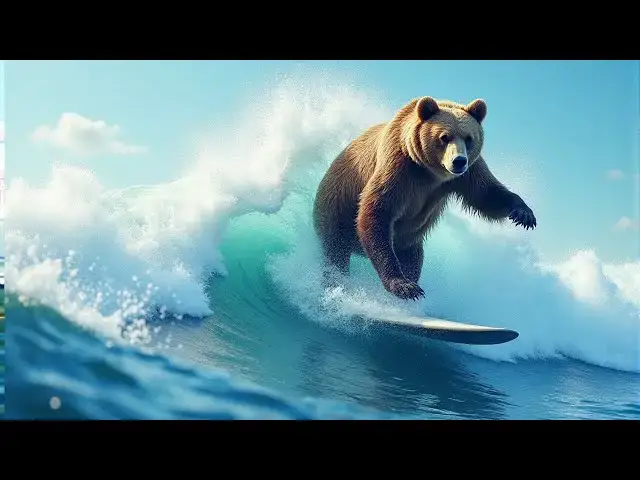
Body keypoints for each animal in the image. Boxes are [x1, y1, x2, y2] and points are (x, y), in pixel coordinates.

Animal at [312, 95, 536, 301]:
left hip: (407, 240)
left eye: (469, 137)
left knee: (413, 258)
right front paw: (403, 286)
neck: (430, 172)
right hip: (336, 206)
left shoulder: (466, 175)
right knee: (336, 251)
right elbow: (377, 210)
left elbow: (486, 193)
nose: (459, 161)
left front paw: (523, 213)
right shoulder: (398, 168)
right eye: (444, 137)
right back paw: (337, 282)